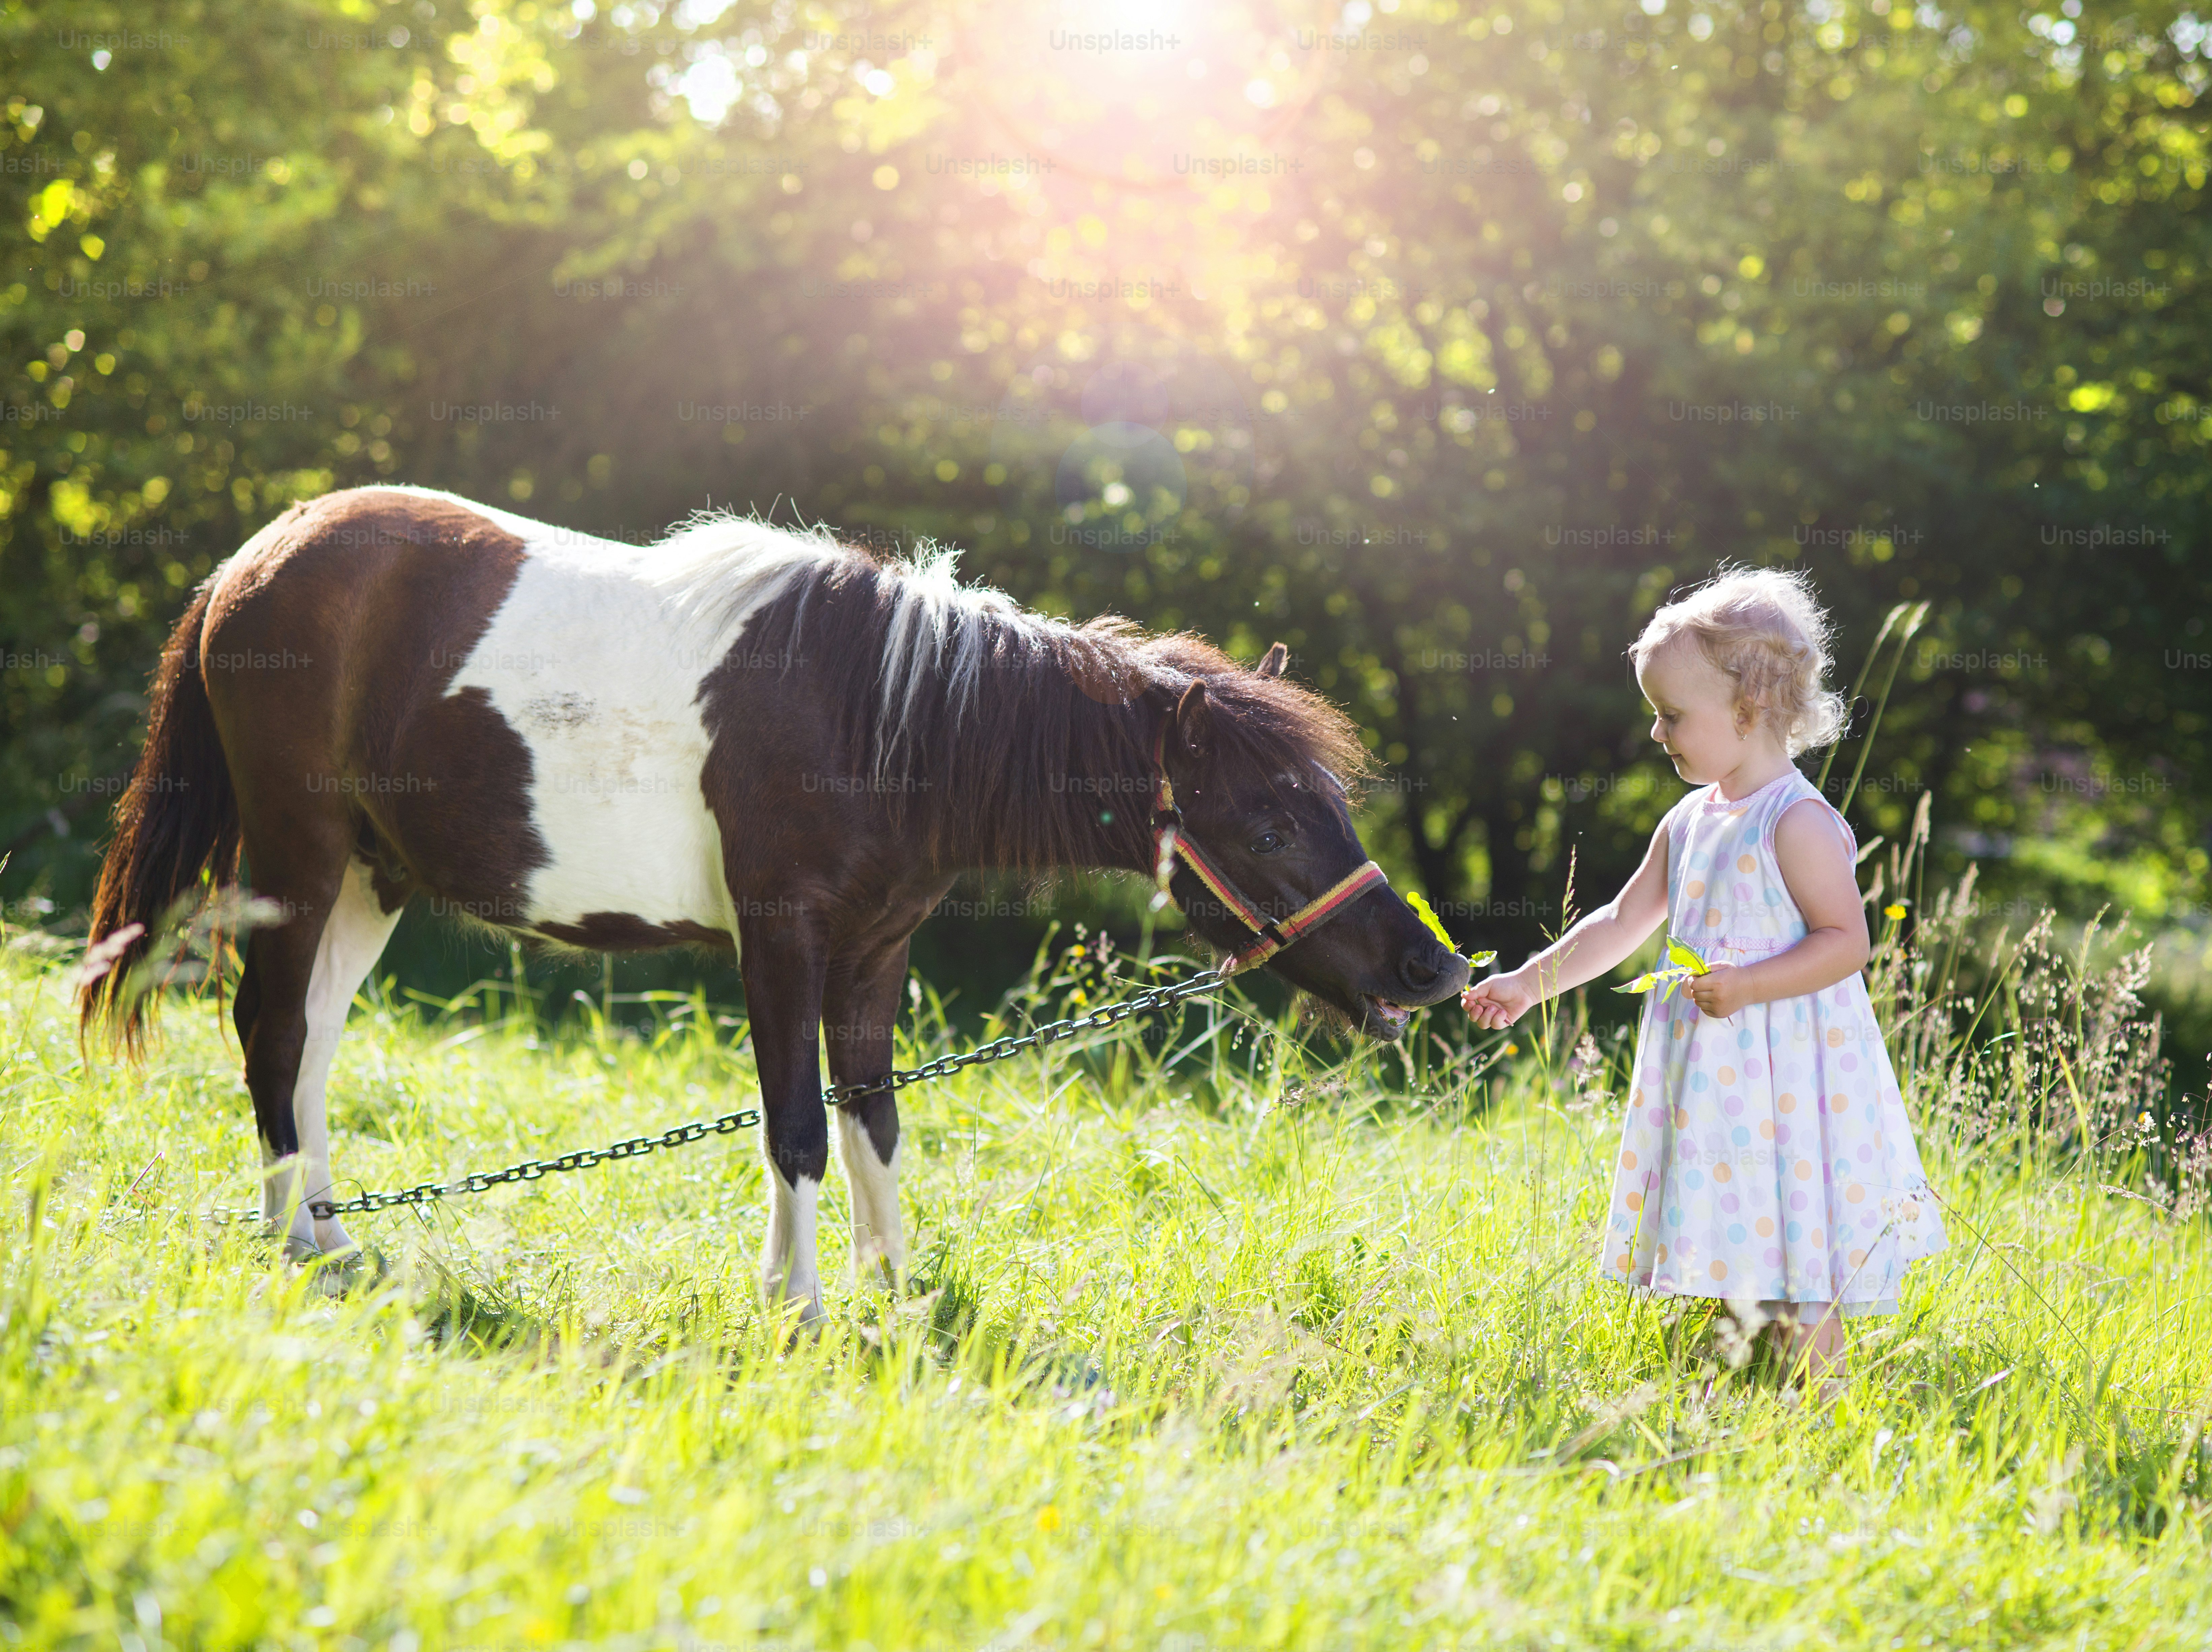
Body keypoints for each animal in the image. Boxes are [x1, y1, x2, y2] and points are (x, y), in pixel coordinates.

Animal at [79, 485, 1471, 1318]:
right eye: (1269, 822)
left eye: (1330, 804)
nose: (1434, 970)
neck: (886, 714)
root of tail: (255, 559)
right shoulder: (781, 936)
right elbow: (796, 1123)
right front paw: (795, 1304)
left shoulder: (873, 952)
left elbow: (873, 1117)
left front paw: (891, 1288)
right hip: (300, 858)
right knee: (270, 1030)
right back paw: (291, 1247)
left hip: (375, 875)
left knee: (310, 1040)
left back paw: (324, 1234)